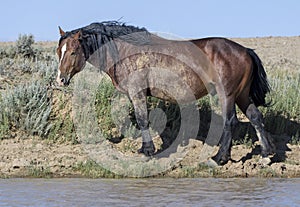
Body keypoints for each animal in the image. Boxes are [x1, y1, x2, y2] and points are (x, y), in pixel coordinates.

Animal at [55, 21, 274, 165]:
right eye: (59, 51)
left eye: (73, 52)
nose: (60, 79)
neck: (126, 51)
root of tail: (245, 50)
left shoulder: (137, 93)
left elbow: (143, 120)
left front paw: (148, 150)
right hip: (242, 95)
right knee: (256, 117)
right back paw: (266, 154)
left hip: (227, 95)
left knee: (230, 122)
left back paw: (220, 158)